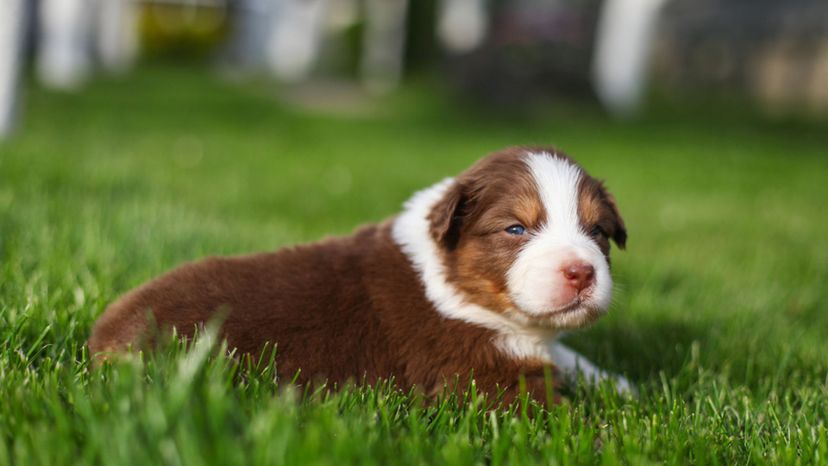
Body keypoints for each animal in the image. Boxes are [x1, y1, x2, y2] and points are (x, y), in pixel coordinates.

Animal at [89, 147, 632, 404]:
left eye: (597, 231)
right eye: (515, 228)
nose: (581, 272)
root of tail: (103, 334)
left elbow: (569, 356)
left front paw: (621, 384)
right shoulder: (479, 374)